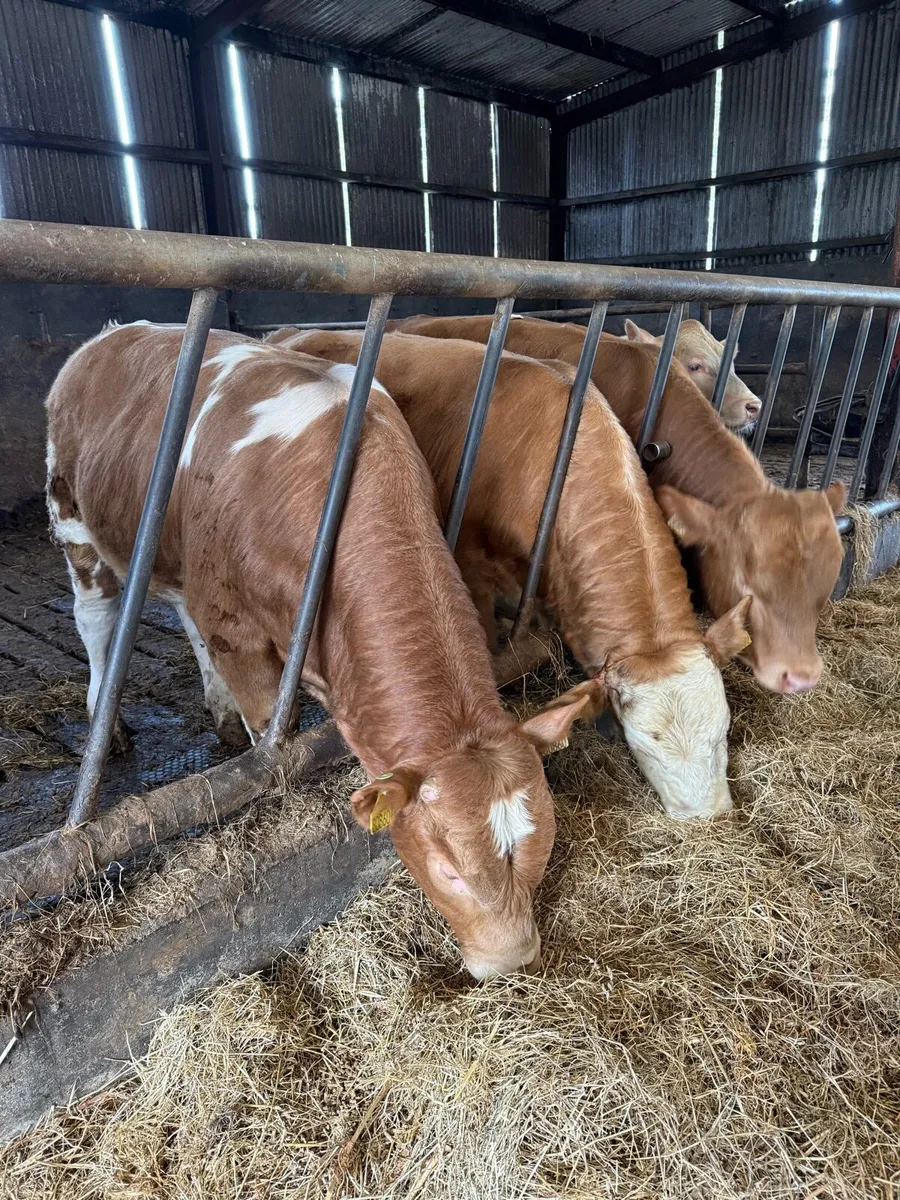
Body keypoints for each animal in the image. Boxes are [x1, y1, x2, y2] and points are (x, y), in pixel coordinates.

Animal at [45, 322, 605, 980]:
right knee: (97, 616)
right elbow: (272, 732)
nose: (511, 958)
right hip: (73, 518)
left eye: (544, 840)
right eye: (449, 872)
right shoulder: (239, 633)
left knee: (181, 613)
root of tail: (109, 336)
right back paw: (109, 726)